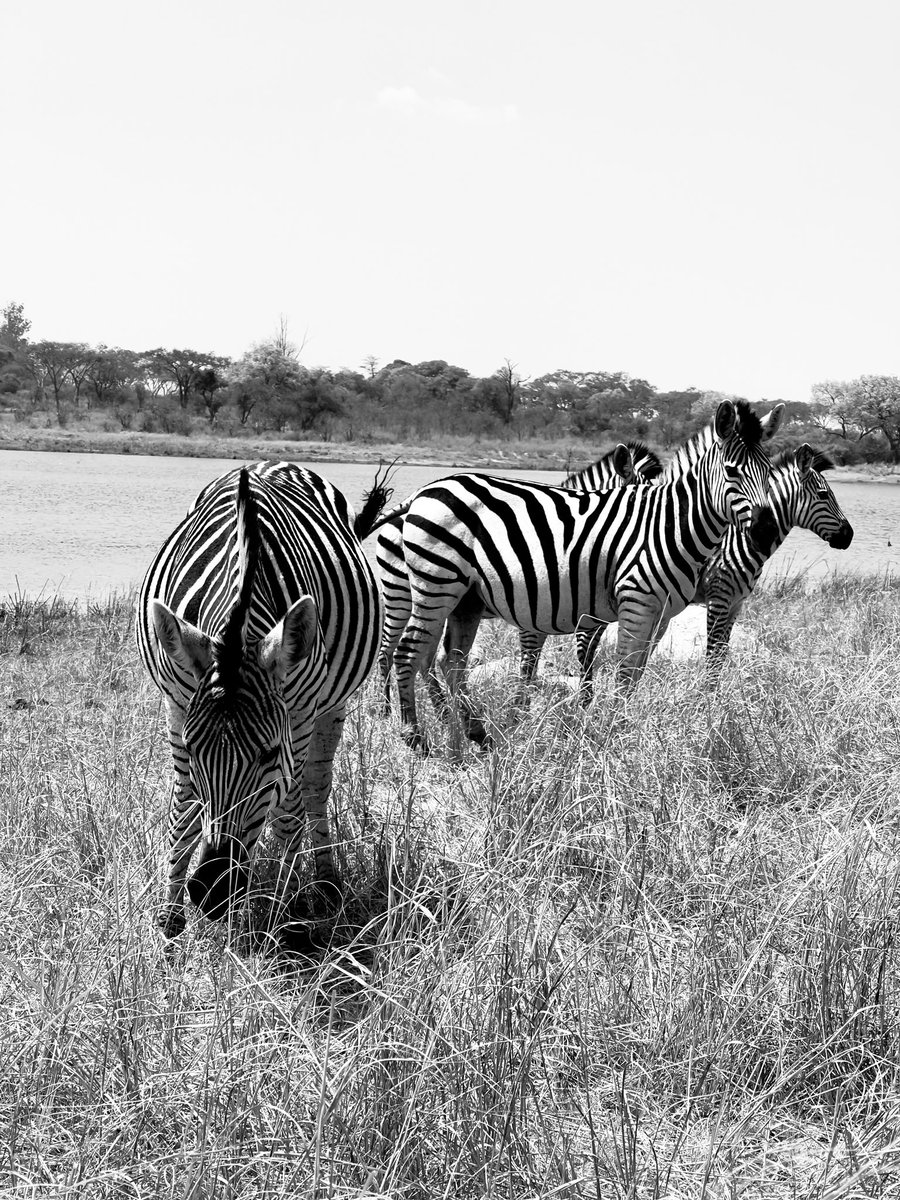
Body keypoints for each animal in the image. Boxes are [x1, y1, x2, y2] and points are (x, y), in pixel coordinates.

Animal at [136, 462, 384, 938]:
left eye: (269, 753)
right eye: (193, 751)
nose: (212, 890)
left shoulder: (299, 715)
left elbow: (288, 816)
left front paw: (277, 920)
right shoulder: (178, 704)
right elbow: (183, 811)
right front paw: (169, 918)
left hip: (331, 708)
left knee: (312, 792)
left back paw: (321, 883)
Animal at [374, 441, 663, 715]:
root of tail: (408, 506)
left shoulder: (588, 617)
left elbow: (587, 657)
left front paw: (583, 704)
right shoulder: (535, 611)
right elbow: (531, 664)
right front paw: (521, 711)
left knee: (425, 658)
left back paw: (443, 711)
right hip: (401, 594)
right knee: (387, 650)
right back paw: (387, 711)